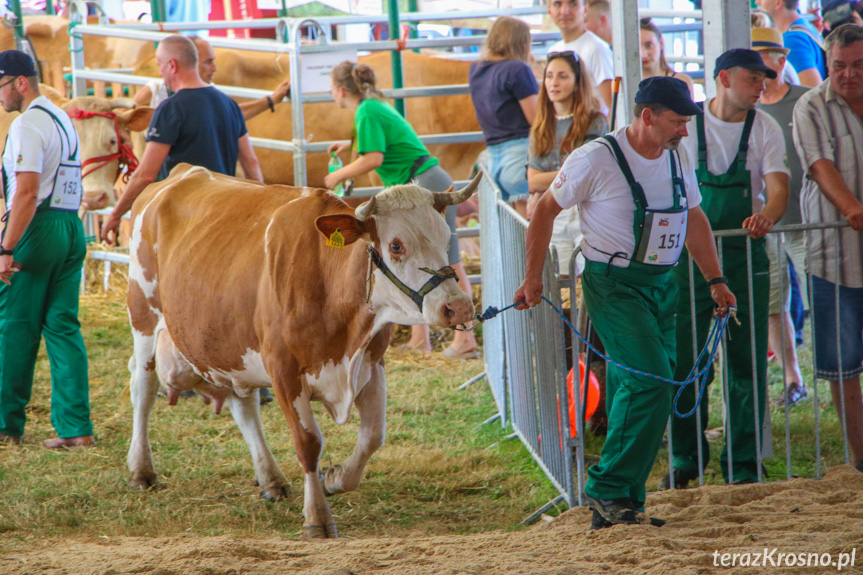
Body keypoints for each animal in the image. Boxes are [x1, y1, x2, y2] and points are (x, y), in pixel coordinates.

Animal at [126, 163, 480, 540]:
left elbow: (372, 436)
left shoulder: (371, 363)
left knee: (244, 406)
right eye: (396, 245)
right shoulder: (283, 369)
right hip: (144, 318)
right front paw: (317, 517)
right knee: (143, 389)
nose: (458, 307)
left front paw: (336, 478)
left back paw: (270, 478)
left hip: (230, 344)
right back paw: (141, 470)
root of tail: (180, 173)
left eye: (447, 238)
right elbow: (308, 442)